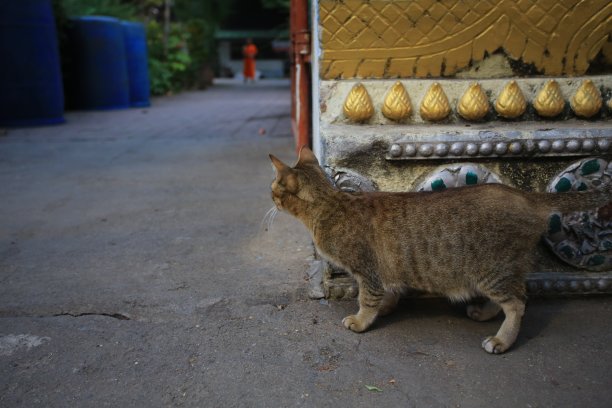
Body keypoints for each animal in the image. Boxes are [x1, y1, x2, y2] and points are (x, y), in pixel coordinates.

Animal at [270, 147, 608, 354]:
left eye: (274, 189)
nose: (270, 197)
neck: (332, 204)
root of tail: (525, 195)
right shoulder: (386, 272)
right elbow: (389, 293)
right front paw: (387, 308)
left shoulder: (368, 272)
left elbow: (367, 300)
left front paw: (361, 320)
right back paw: (484, 313)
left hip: (493, 271)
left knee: (517, 304)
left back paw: (502, 339)